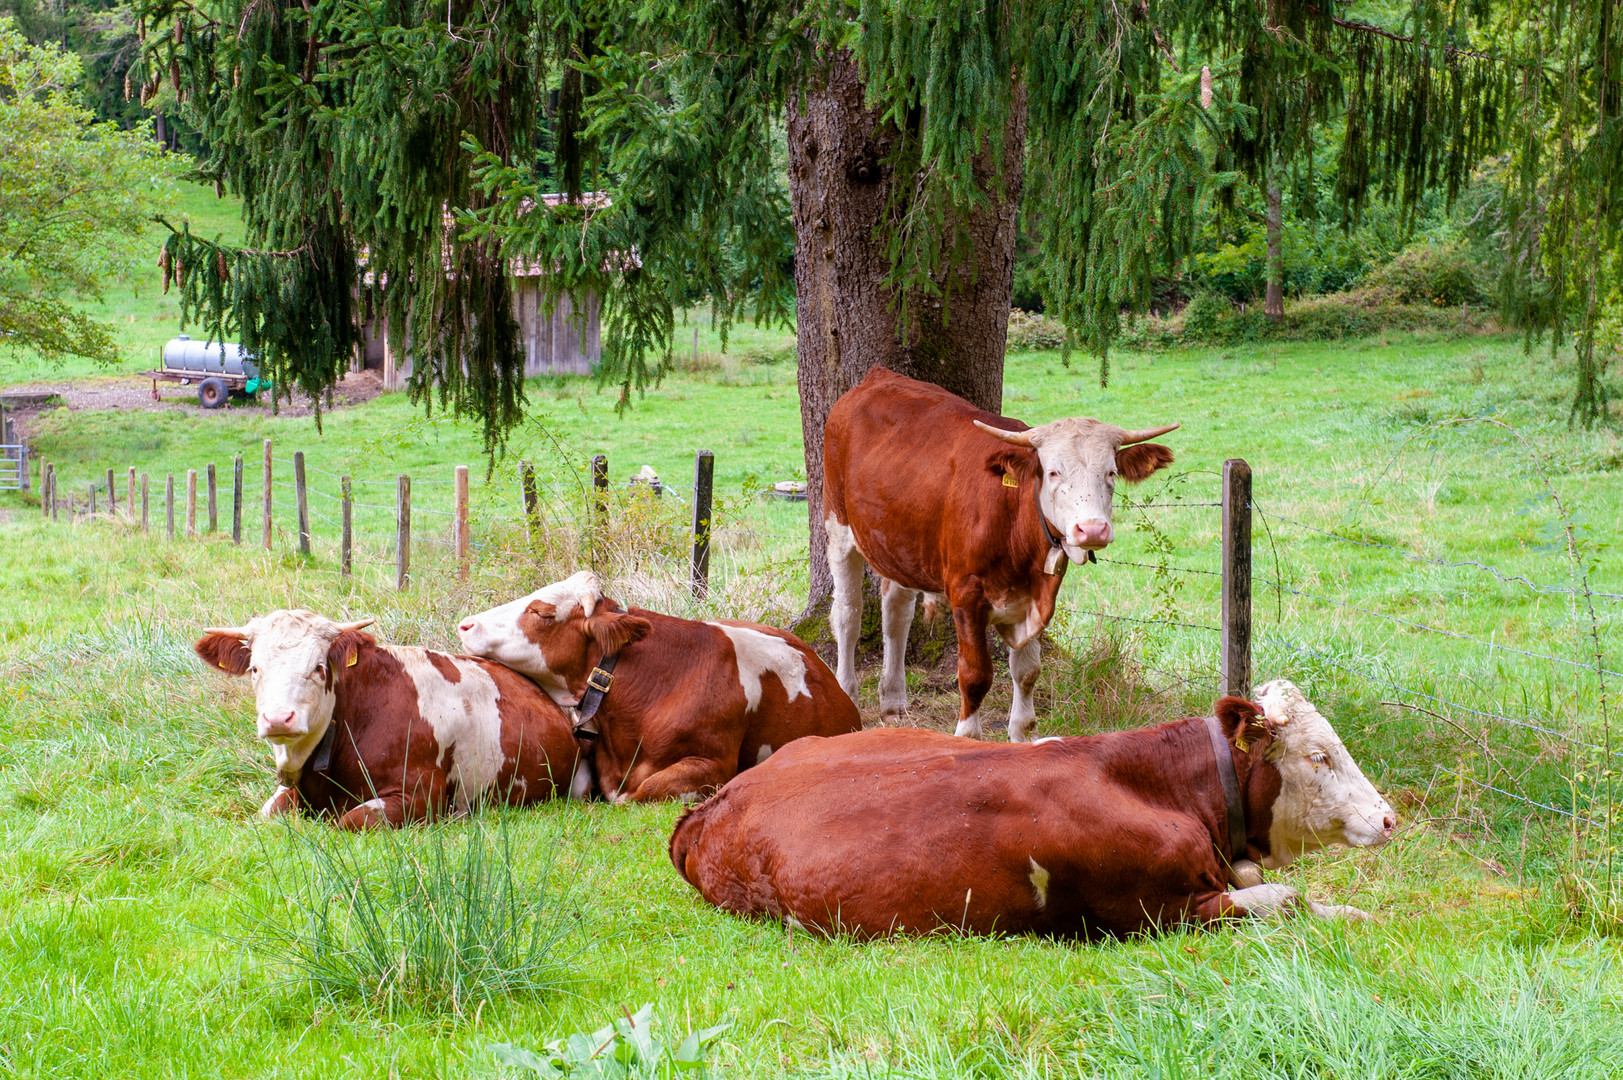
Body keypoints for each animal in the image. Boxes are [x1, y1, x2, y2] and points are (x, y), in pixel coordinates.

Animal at [194, 607, 584, 825]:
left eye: (319, 668)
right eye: (255, 669)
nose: (278, 719)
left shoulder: (422, 797)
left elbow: (349, 821)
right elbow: (266, 815)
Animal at [824, 367, 1181, 737]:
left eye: (1111, 472)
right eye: (1053, 472)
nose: (1093, 529)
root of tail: (878, 376)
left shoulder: (1037, 596)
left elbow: (1027, 671)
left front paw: (1021, 734)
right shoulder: (966, 594)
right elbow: (975, 675)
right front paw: (968, 735)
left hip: (900, 543)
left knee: (896, 611)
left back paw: (893, 700)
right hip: (837, 523)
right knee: (848, 614)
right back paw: (847, 695)